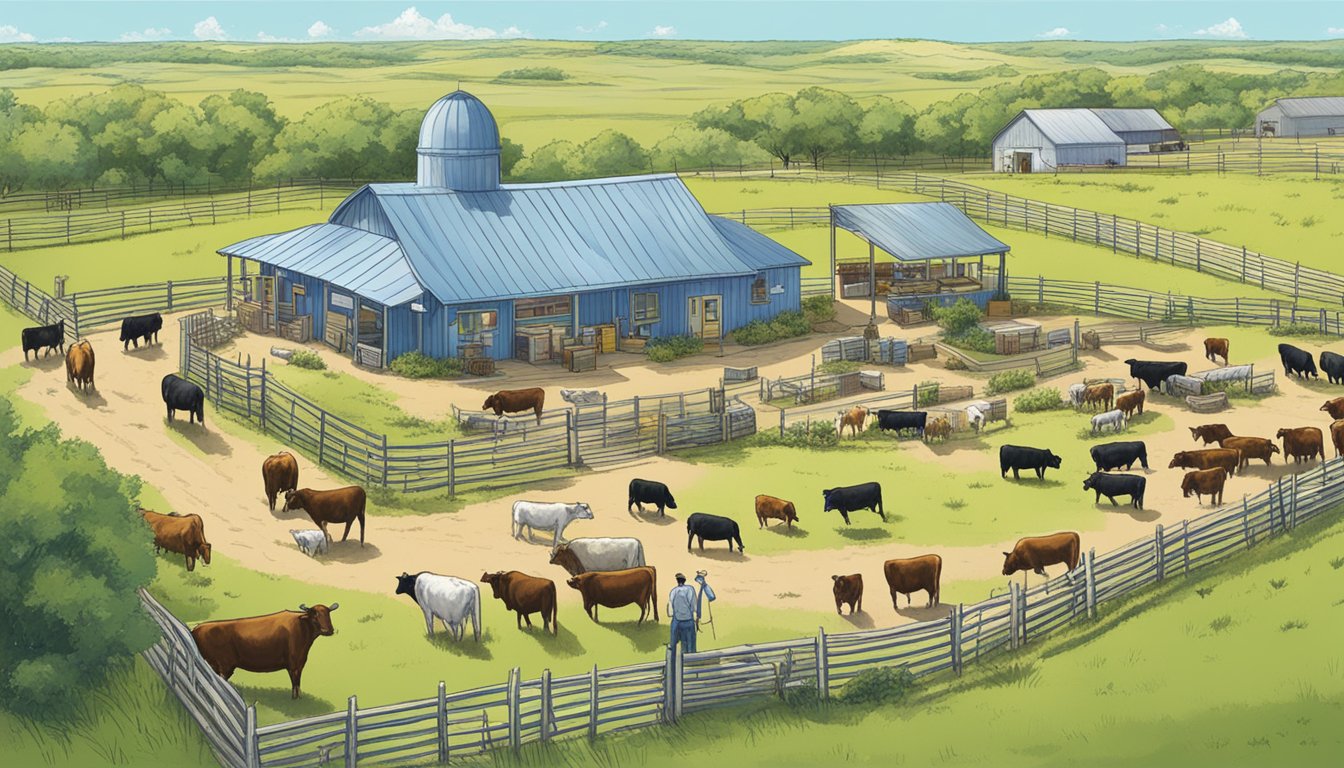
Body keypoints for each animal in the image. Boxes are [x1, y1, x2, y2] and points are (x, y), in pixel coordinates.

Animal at [194, 605, 341, 699]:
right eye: (314, 615)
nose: (328, 630)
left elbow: (297, 681)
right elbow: (294, 681)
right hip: (224, 665)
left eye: (328, 614)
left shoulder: (300, 663)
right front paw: (295, 698)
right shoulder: (293, 664)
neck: (301, 626)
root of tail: (197, 628)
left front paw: (299, 697)